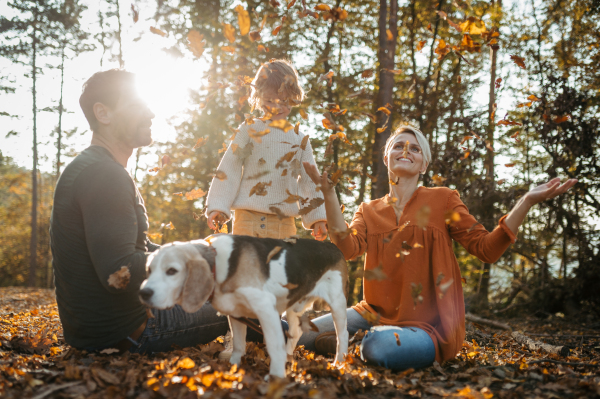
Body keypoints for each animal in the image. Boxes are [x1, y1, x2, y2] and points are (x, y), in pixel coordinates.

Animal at [139, 234, 350, 378]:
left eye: (172, 271)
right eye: (149, 270)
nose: (143, 293)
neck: (218, 263)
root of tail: (332, 246)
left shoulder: (266, 309)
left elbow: (274, 346)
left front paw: (275, 377)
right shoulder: (236, 313)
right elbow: (238, 345)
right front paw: (233, 367)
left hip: (337, 304)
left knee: (342, 335)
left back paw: (339, 362)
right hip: (293, 307)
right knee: (295, 333)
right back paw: (289, 356)